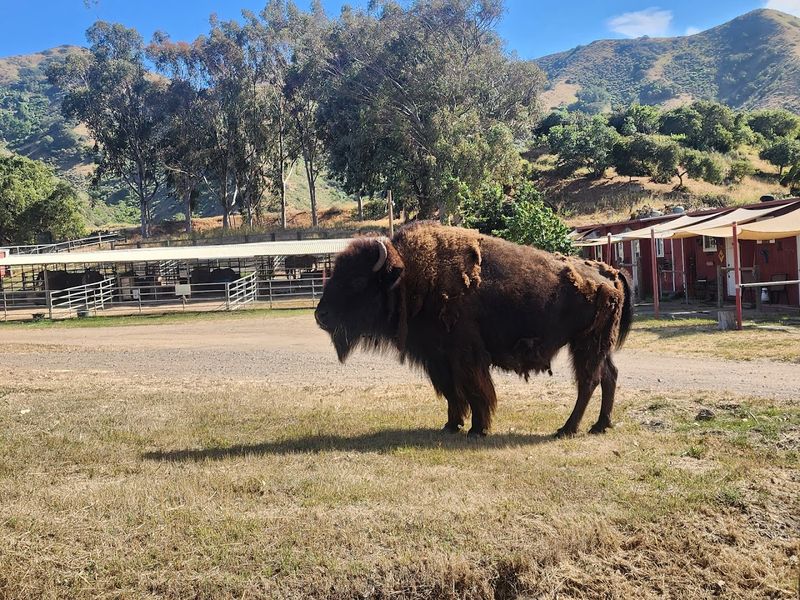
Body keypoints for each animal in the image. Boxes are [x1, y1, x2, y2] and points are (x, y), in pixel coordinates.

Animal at [315, 222, 632, 438]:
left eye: (356, 280)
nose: (320, 315)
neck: (409, 278)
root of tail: (610, 273)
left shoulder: (464, 355)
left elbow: (475, 390)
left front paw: (478, 428)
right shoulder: (437, 358)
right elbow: (452, 392)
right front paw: (451, 425)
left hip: (586, 343)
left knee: (588, 381)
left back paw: (567, 429)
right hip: (598, 345)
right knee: (609, 376)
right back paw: (600, 426)